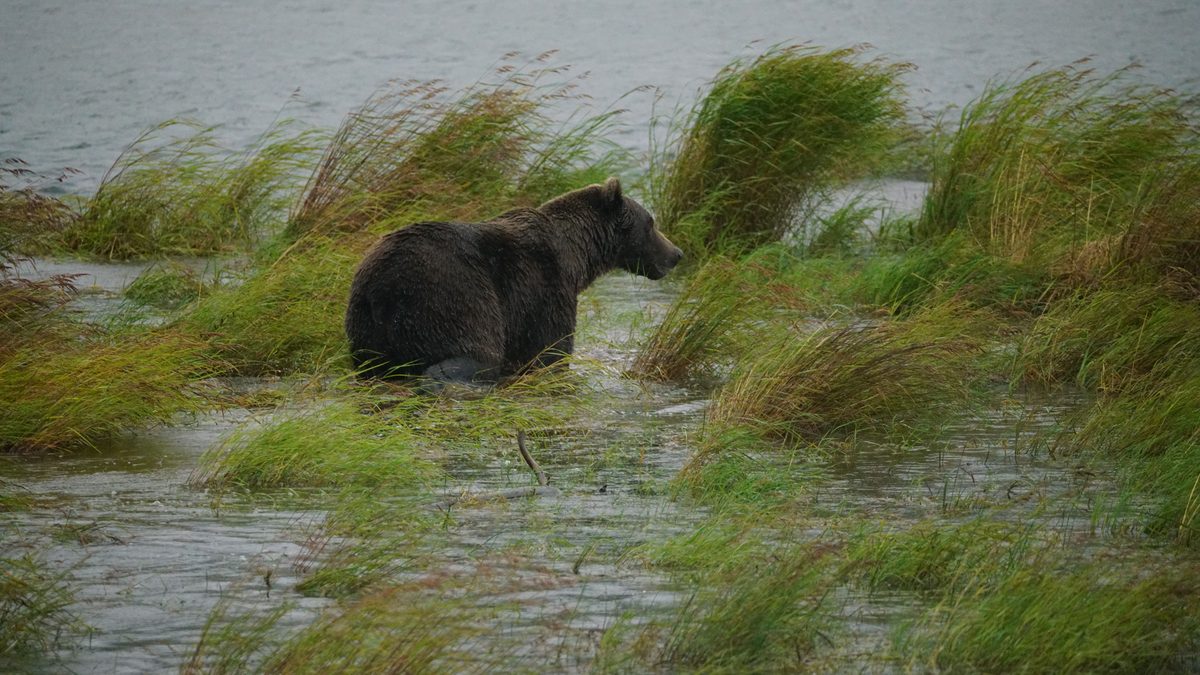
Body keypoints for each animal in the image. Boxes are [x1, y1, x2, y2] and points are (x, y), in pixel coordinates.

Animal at [345, 177, 683, 383]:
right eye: (651, 223)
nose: (676, 253)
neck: (577, 256)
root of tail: (384, 287)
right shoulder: (545, 288)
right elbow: (550, 351)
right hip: (450, 297)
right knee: (473, 354)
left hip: (364, 322)